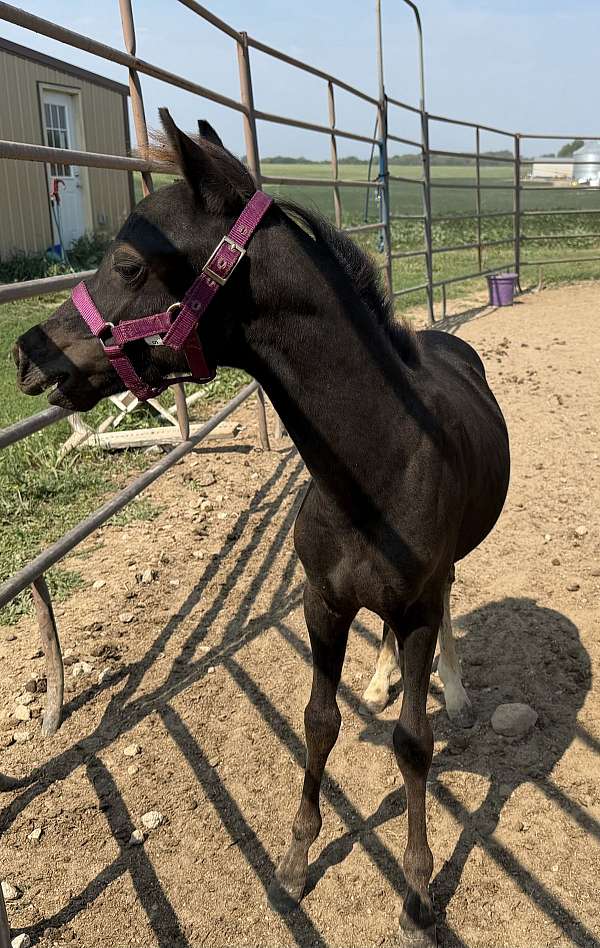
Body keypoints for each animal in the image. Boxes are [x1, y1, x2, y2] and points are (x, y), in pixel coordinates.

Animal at [13, 110, 510, 946]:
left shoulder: (411, 607)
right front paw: (296, 858)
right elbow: (317, 722)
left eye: (129, 263)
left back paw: (459, 690)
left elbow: (414, 744)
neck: (373, 468)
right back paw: (381, 678)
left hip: (442, 577)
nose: (27, 352)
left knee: (448, 610)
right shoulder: (322, 603)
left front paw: (416, 891)